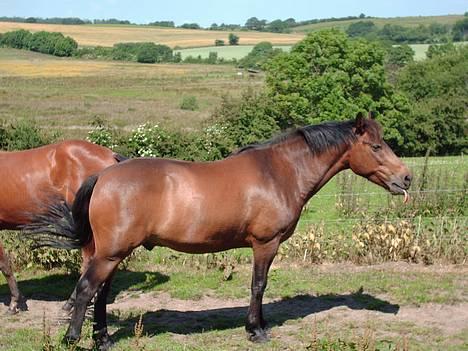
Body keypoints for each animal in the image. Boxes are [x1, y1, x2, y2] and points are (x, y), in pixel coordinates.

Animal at [24, 114, 410, 350]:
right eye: (376, 146)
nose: (405, 178)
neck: (280, 172)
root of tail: (103, 175)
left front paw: (260, 325)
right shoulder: (265, 244)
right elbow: (258, 285)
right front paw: (256, 330)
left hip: (110, 253)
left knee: (100, 294)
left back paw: (102, 338)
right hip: (110, 253)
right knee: (86, 290)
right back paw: (73, 338)